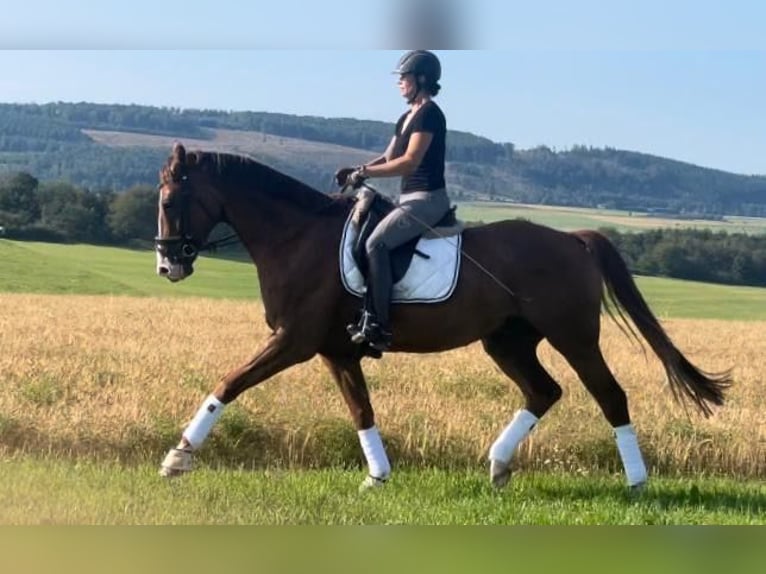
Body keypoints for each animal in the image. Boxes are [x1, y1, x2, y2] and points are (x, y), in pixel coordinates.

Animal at [154, 143, 732, 490]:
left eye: (171, 200)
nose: (167, 265)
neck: (297, 235)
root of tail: (573, 238)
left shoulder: (294, 341)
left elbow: (229, 382)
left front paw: (177, 458)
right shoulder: (336, 350)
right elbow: (361, 410)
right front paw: (378, 476)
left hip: (573, 336)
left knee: (609, 395)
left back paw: (636, 481)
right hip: (507, 340)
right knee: (543, 391)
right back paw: (497, 465)